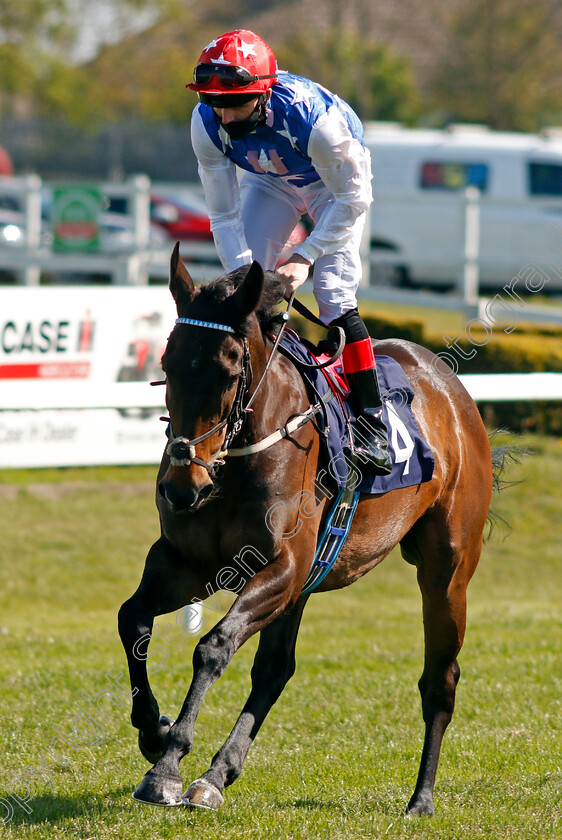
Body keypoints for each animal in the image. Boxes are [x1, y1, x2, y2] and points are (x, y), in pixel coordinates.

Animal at [117, 246, 490, 816]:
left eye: (230, 369)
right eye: (167, 364)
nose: (183, 487)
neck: (239, 460)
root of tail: (452, 390)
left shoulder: (281, 566)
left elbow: (213, 647)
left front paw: (168, 764)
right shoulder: (187, 564)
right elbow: (132, 621)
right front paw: (153, 732)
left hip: (446, 572)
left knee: (440, 680)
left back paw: (421, 797)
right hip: (306, 583)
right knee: (275, 669)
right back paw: (217, 775)